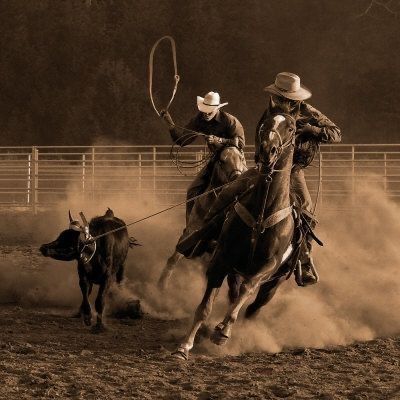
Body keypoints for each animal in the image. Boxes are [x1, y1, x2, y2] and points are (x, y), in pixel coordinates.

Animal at [157, 145, 247, 290]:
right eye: (221, 161)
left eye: (241, 158)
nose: (237, 178)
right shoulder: (190, 234)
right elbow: (174, 258)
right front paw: (161, 284)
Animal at [173, 100, 298, 360]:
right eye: (264, 123)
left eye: (291, 128)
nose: (268, 150)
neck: (261, 212)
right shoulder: (221, 259)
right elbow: (204, 307)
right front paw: (184, 346)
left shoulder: (267, 265)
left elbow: (248, 290)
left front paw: (223, 331)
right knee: (234, 294)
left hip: (276, 281)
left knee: (252, 307)